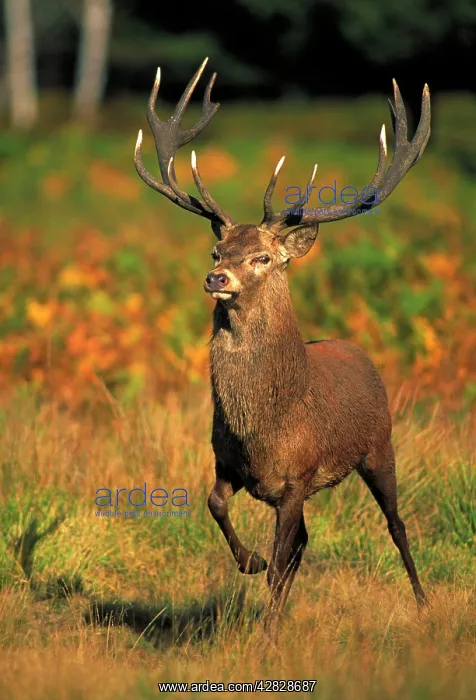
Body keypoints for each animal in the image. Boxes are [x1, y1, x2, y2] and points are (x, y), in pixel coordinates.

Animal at [134, 58, 431, 639]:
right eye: (217, 249)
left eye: (263, 258)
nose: (216, 278)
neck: (264, 430)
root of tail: (358, 350)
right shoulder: (229, 465)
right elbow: (216, 506)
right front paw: (248, 562)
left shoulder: (297, 477)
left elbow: (279, 565)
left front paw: (268, 636)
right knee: (305, 543)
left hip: (380, 446)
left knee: (397, 525)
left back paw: (424, 603)